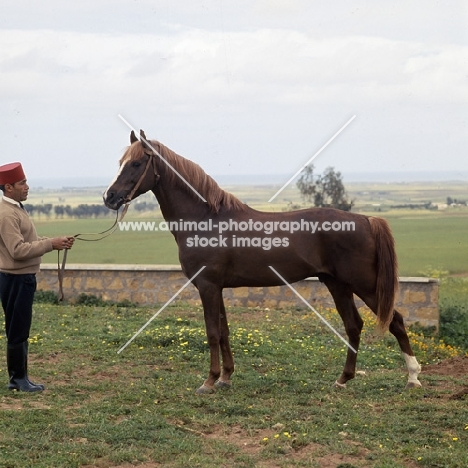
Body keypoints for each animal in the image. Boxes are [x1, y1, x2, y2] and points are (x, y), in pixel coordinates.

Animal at [104, 130, 422, 394]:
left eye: (136, 164)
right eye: (120, 161)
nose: (109, 197)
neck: (206, 219)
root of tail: (367, 219)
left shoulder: (207, 286)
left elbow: (212, 333)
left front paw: (209, 381)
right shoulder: (218, 288)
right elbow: (224, 331)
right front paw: (226, 377)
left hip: (364, 284)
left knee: (395, 321)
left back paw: (412, 378)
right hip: (337, 284)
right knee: (354, 325)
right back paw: (343, 379)